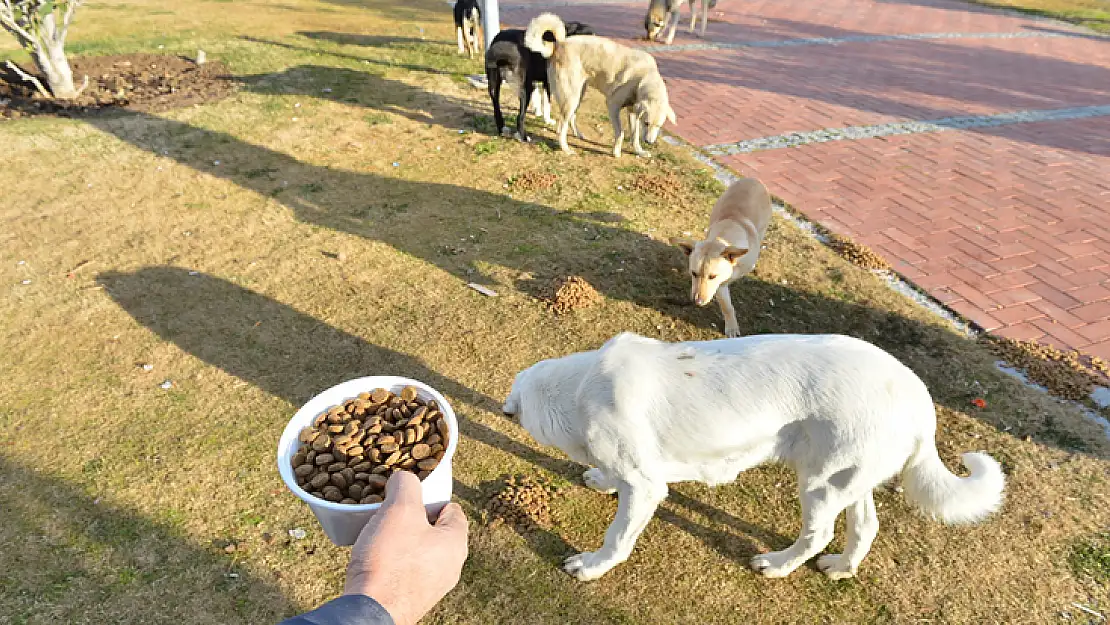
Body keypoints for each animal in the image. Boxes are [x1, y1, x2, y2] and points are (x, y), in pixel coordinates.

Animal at [666, 177, 772, 337]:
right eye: (694, 273)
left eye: (712, 276)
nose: (697, 301)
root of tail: (753, 179)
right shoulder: (721, 285)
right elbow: (727, 306)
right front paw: (731, 326)